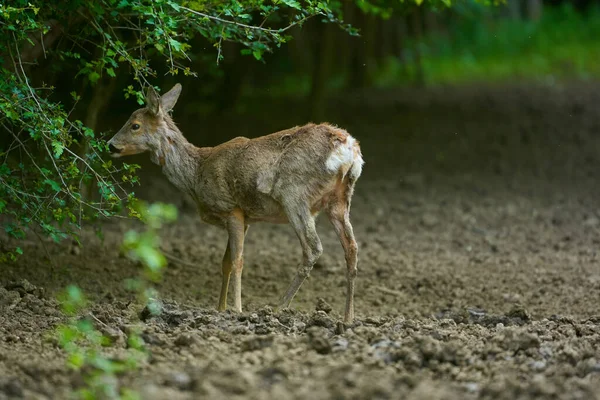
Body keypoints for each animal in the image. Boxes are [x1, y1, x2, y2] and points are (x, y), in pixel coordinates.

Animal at [106, 83, 364, 324]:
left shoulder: (231, 208)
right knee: (352, 248)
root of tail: (349, 149)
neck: (196, 175)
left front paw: (237, 309)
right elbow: (225, 262)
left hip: (294, 195)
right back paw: (348, 318)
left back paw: (277, 308)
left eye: (135, 125)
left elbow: (238, 260)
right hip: (340, 199)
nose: (110, 145)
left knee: (313, 248)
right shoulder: (245, 217)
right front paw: (220, 308)